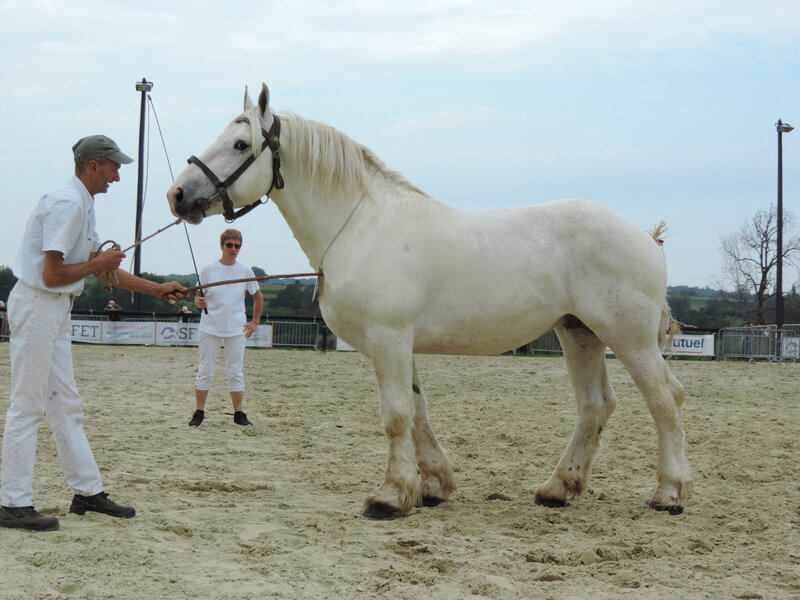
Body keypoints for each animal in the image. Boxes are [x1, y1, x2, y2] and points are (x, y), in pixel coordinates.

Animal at [166, 82, 692, 516]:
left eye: (241, 144)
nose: (177, 195)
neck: (361, 225)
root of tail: (646, 237)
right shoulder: (400, 346)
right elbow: (417, 413)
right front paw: (433, 485)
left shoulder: (389, 339)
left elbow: (397, 415)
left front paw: (390, 496)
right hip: (578, 332)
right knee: (594, 406)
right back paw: (558, 489)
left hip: (627, 336)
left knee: (665, 399)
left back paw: (669, 493)